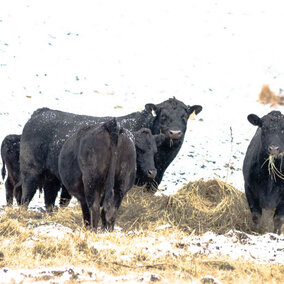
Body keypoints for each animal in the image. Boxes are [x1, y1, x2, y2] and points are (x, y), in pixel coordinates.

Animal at [20, 97, 202, 206]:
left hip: (53, 176)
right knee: (25, 197)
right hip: (31, 170)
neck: (161, 161)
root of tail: (41, 112)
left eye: (184, 116)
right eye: (163, 116)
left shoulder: (153, 182)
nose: (175, 133)